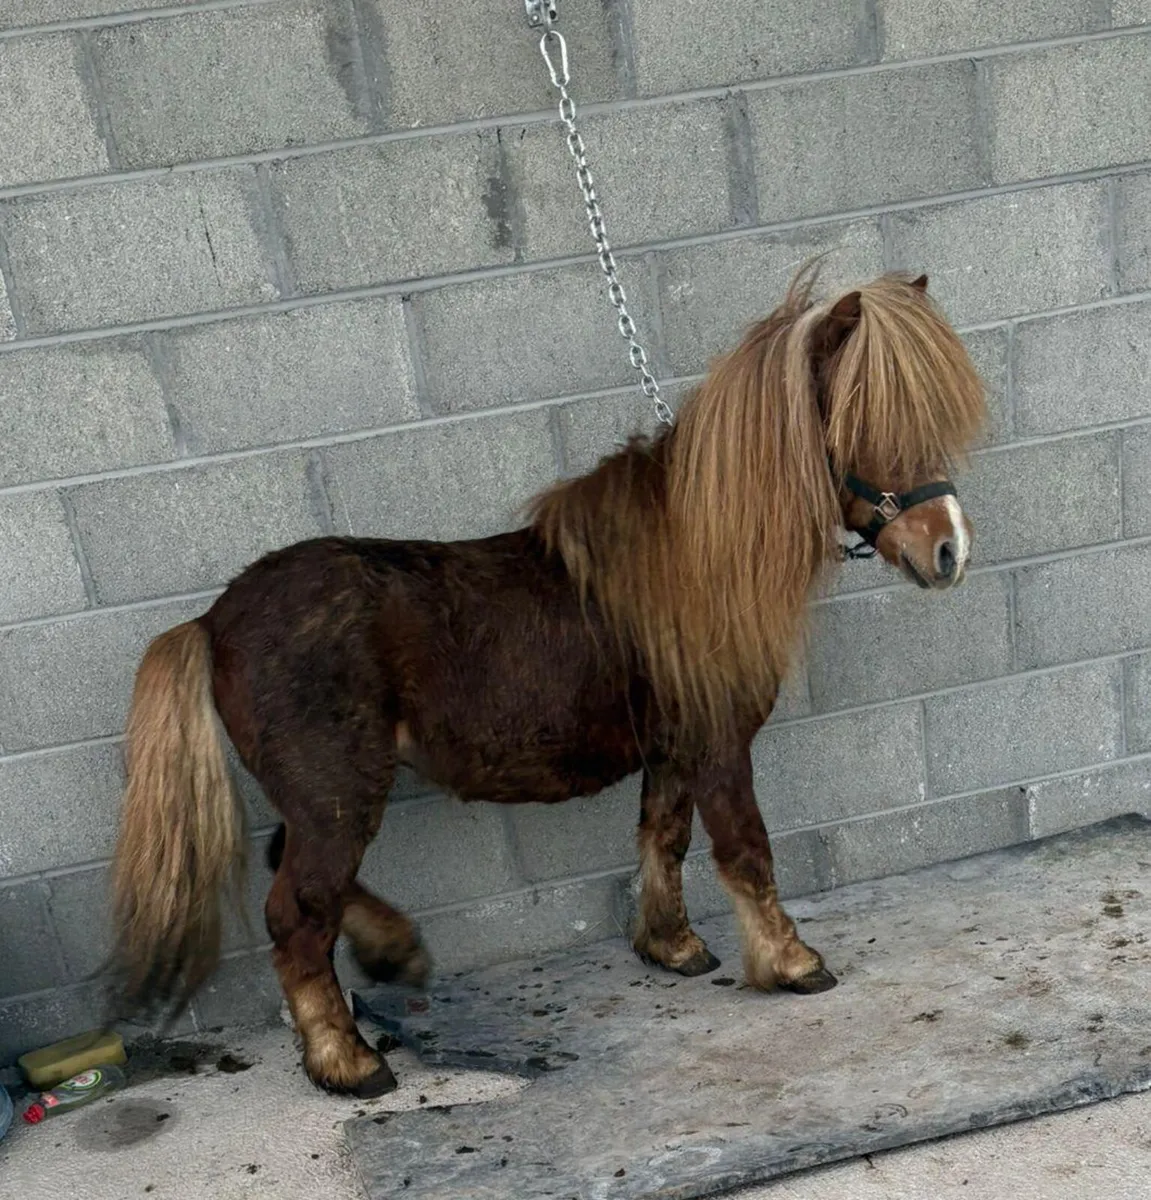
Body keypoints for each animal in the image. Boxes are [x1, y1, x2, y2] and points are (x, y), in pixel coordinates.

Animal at [108, 267, 986, 1098]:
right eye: (862, 423)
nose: (948, 551)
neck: (695, 555)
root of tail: (211, 622)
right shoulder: (716, 742)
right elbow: (744, 851)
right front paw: (791, 962)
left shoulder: (673, 746)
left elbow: (662, 837)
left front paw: (672, 947)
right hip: (338, 794)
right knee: (295, 911)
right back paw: (345, 1061)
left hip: (330, 796)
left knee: (295, 872)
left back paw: (393, 953)